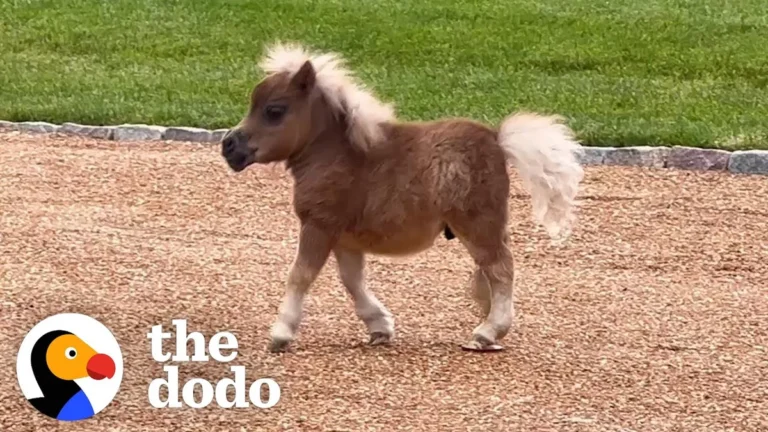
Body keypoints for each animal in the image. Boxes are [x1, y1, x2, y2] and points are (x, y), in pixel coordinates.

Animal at [221, 42, 584, 353]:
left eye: (274, 110)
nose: (229, 145)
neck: (337, 154)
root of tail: (498, 140)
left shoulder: (319, 226)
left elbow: (301, 275)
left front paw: (281, 333)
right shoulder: (344, 238)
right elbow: (352, 281)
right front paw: (380, 326)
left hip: (478, 226)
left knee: (501, 269)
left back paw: (487, 332)